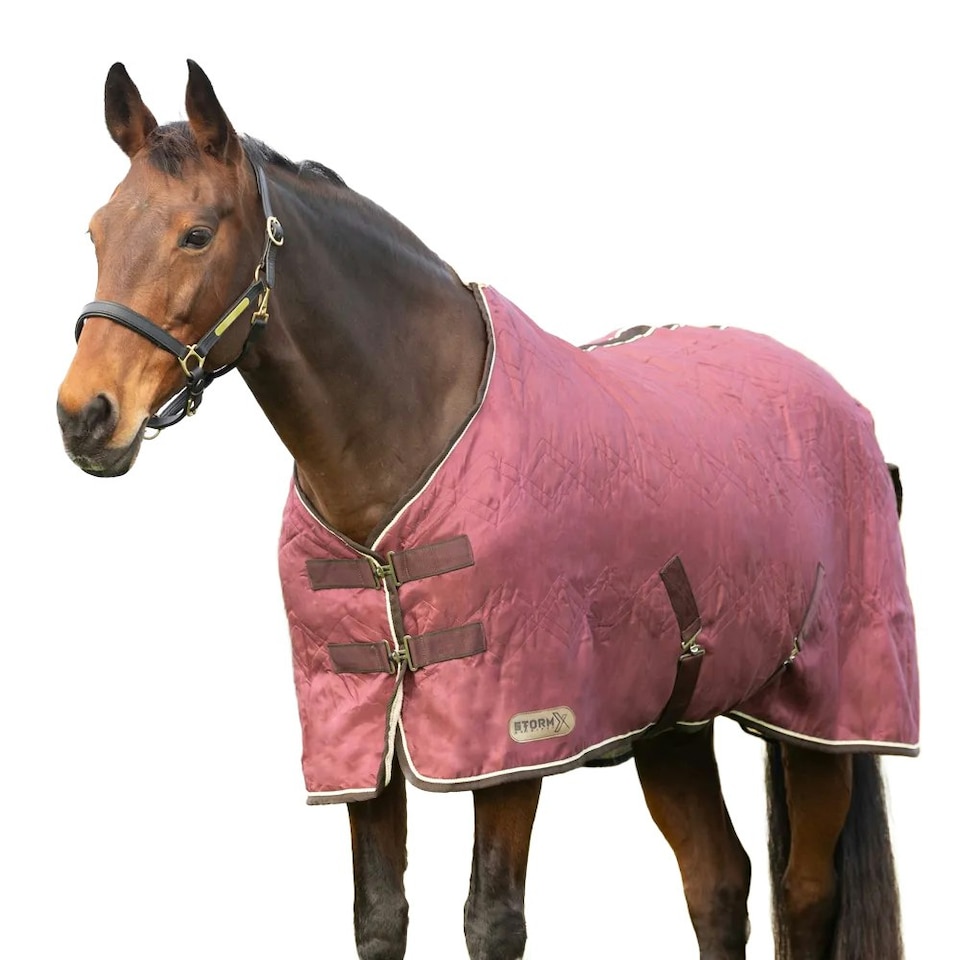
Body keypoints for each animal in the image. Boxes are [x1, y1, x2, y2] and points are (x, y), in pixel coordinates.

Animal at [56, 61, 917, 960]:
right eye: (96, 232)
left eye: (196, 234)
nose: (85, 416)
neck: (411, 445)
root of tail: (849, 411)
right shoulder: (360, 735)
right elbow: (379, 916)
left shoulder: (513, 740)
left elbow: (492, 920)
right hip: (676, 721)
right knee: (718, 885)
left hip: (822, 718)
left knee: (807, 890)